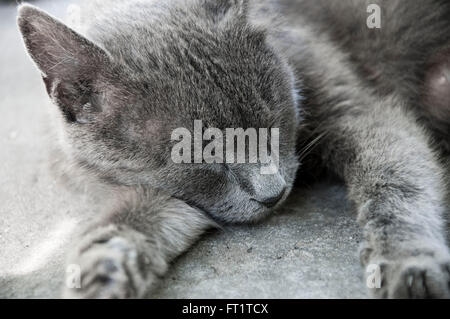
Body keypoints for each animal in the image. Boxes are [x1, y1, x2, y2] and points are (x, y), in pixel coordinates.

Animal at [15, 0, 448, 300]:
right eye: (199, 153)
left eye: (271, 119)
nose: (273, 193)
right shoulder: (165, 192)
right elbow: (131, 222)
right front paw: (99, 273)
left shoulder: (357, 108)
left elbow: (393, 179)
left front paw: (409, 261)